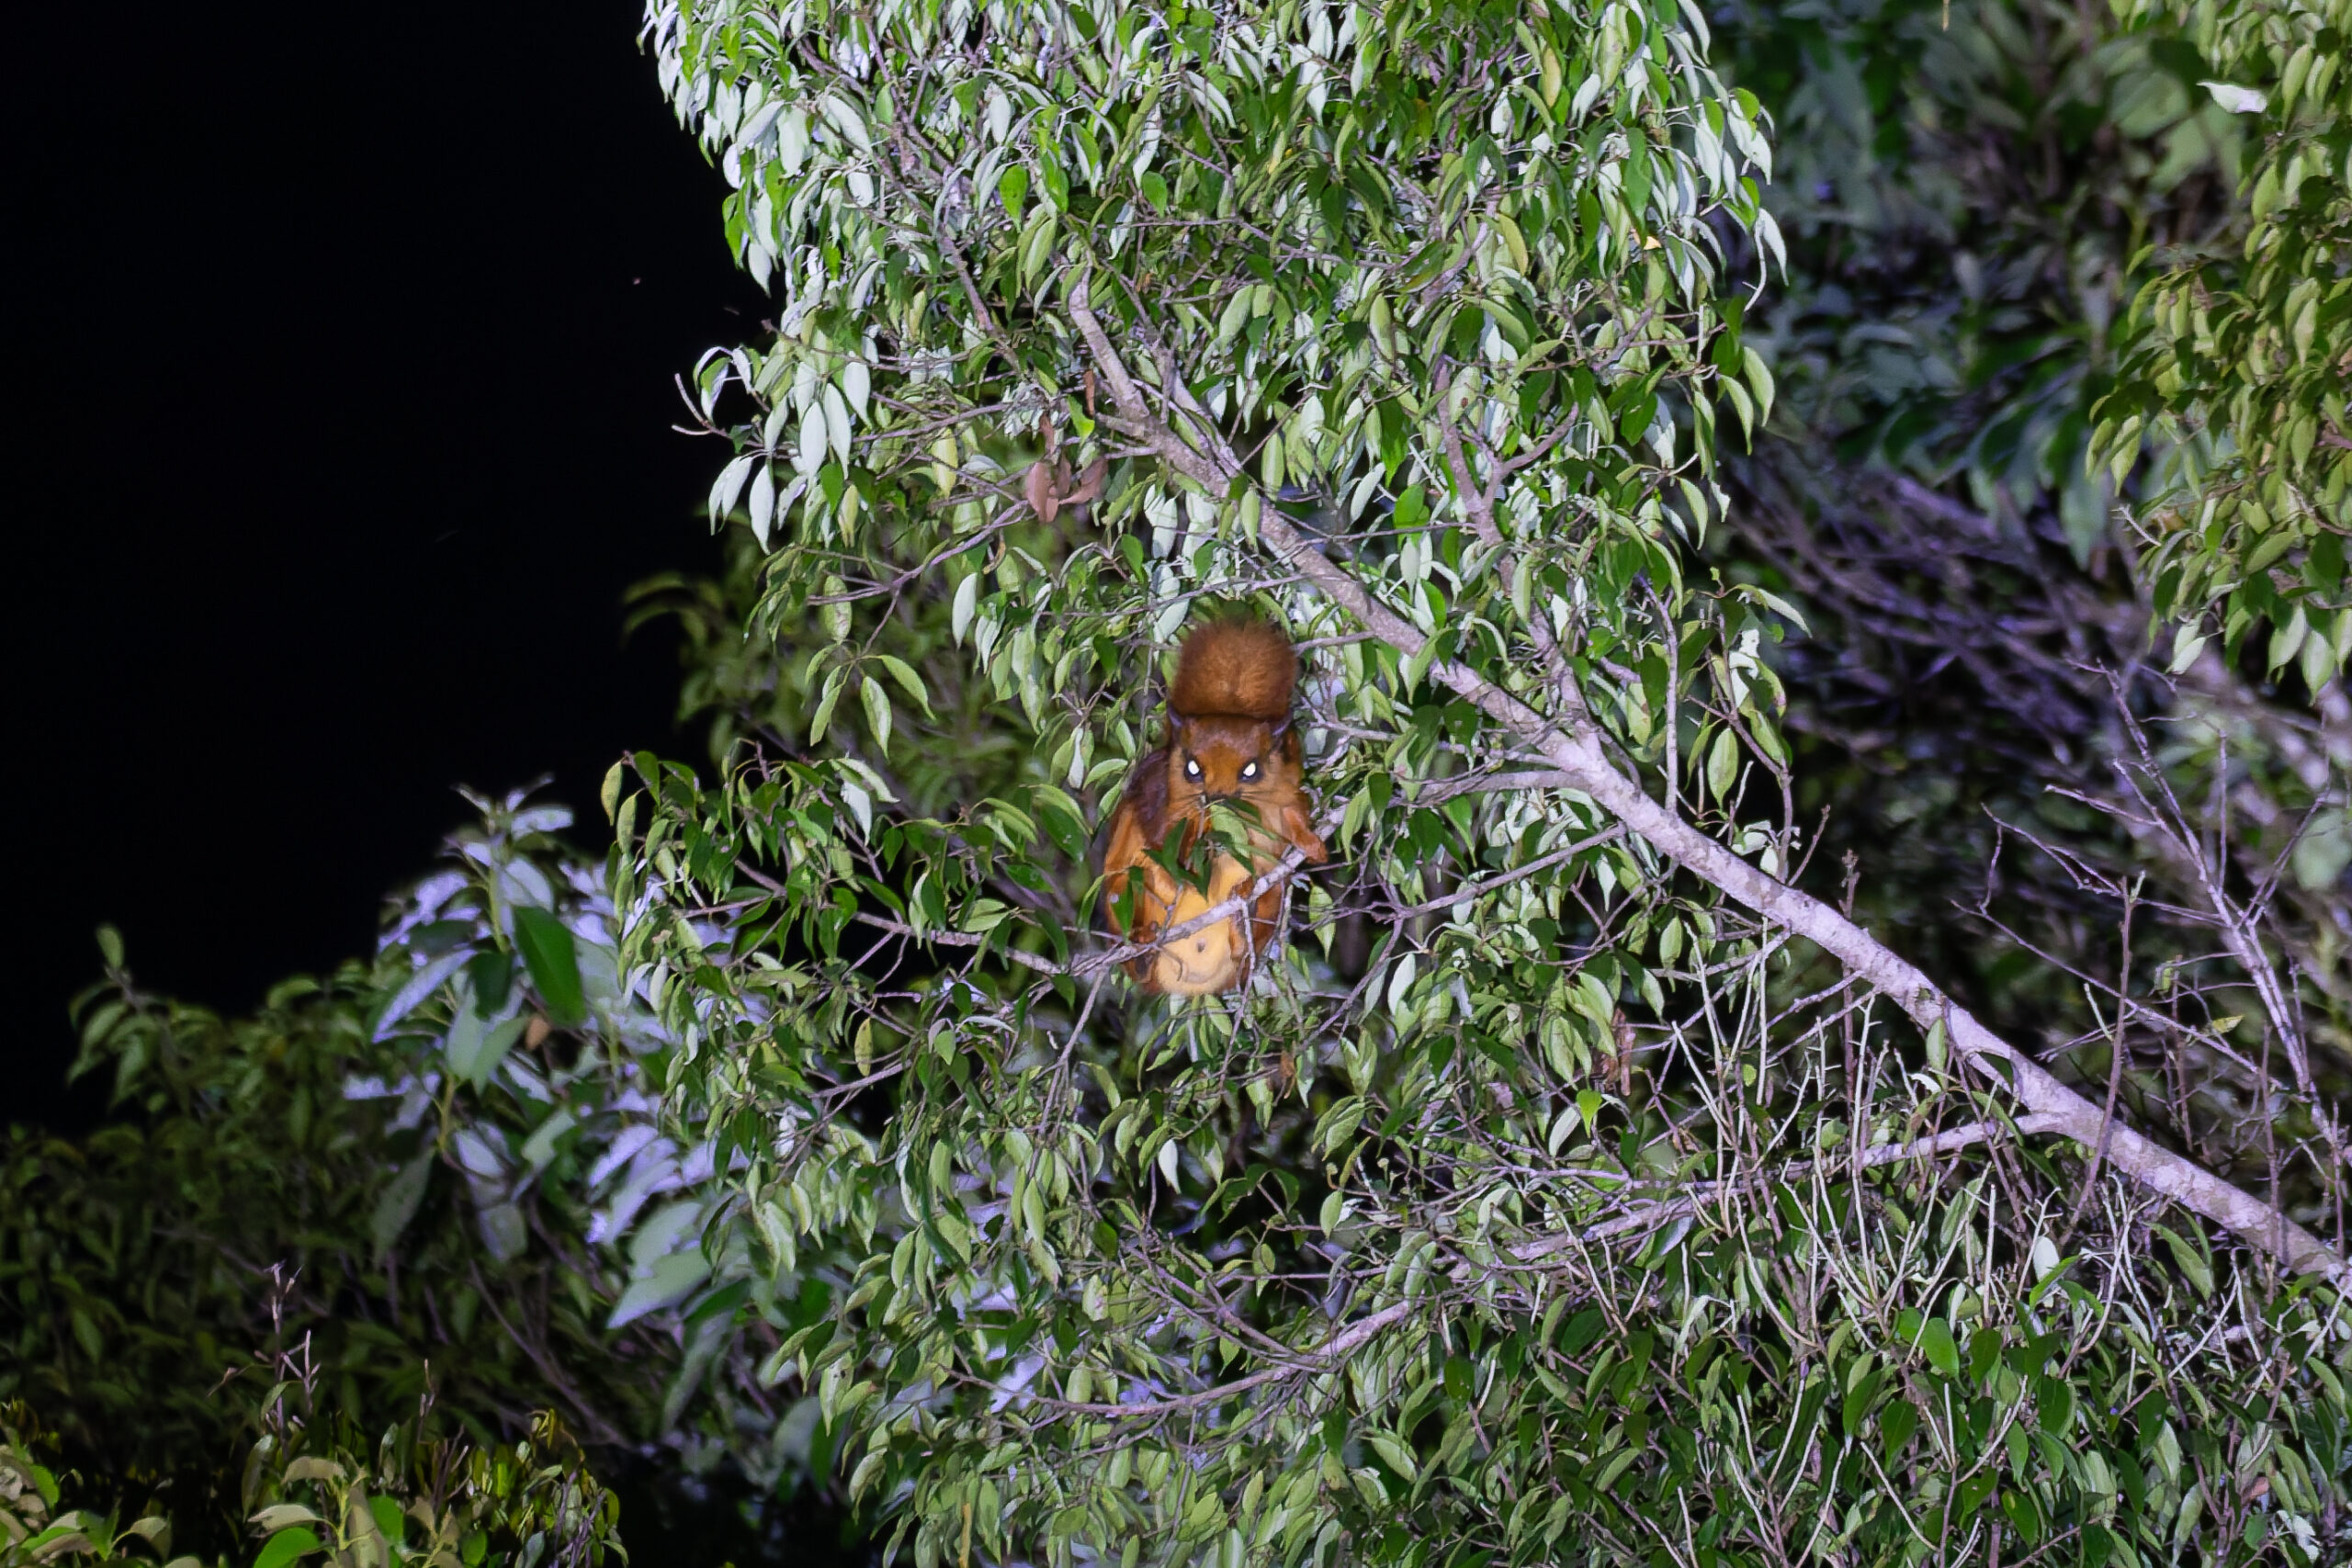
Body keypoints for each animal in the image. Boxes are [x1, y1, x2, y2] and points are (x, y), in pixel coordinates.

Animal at [1100, 617, 1328, 994]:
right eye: (1192, 769)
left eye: (1251, 770)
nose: (1218, 799)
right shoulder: (1157, 800)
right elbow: (1166, 847)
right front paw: (1201, 836)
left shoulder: (1287, 792)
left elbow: (1295, 814)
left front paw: (1311, 844)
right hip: (1124, 894)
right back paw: (1144, 947)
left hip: (1270, 903)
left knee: (1250, 936)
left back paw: (1241, 915)